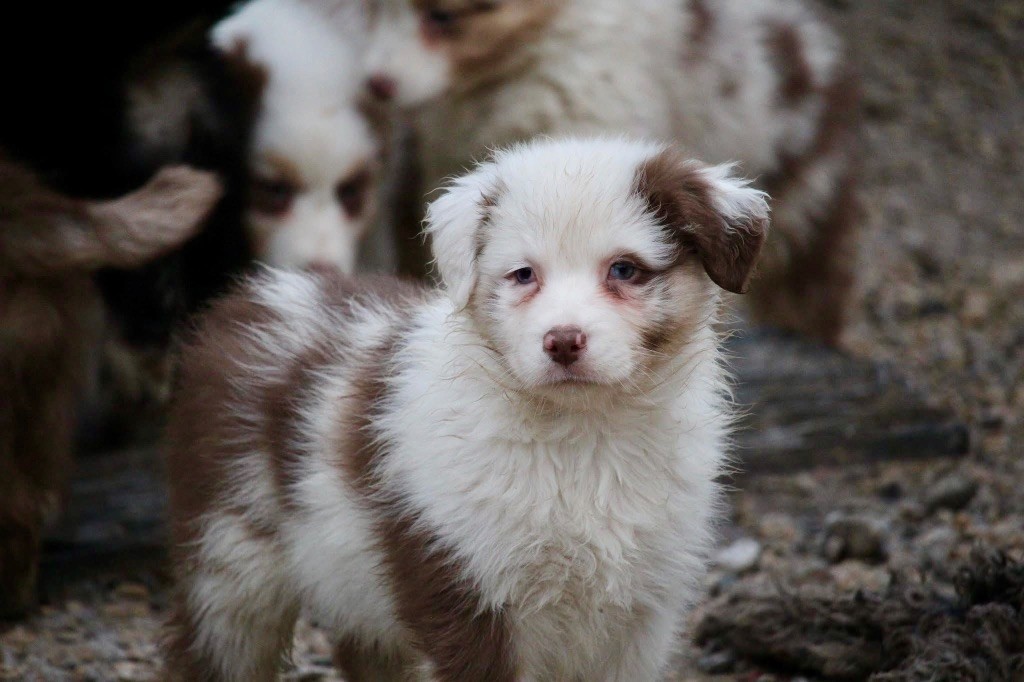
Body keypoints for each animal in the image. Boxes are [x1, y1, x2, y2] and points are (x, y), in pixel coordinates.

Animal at [159, 138, 770, 679]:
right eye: (524, 274)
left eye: (624, 269)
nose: (563, 341)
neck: (582, 436)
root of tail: (254, 295)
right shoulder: (461, 587)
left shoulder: (644, 612)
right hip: (229, 556)